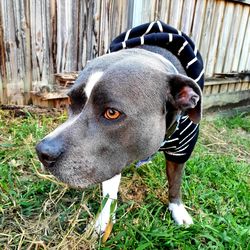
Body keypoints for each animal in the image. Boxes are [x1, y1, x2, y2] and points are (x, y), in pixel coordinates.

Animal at [35, 21, 203, 240]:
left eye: (112, 113)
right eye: (71, 100)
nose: (42, 152)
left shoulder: (182, 149)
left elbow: (175, 182)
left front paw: (178, 210)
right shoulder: (111, 158)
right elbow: (109, 192)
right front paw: (103, 221)